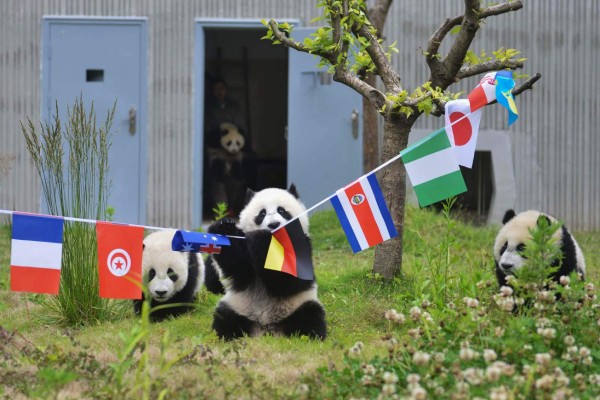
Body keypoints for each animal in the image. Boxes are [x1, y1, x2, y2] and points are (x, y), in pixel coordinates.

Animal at [205, 185, 328, 340]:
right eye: (262, 214)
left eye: (282, 211)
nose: (273, 224)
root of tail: (266, 328)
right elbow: (238, 267)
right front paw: (224, 227)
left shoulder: (302, 245)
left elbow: (290, 280)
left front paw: (265, 240)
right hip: (238, 306)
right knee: (225, 319)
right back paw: (229, 335)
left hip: (299, 304)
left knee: (310, 317)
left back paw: (308, 336)